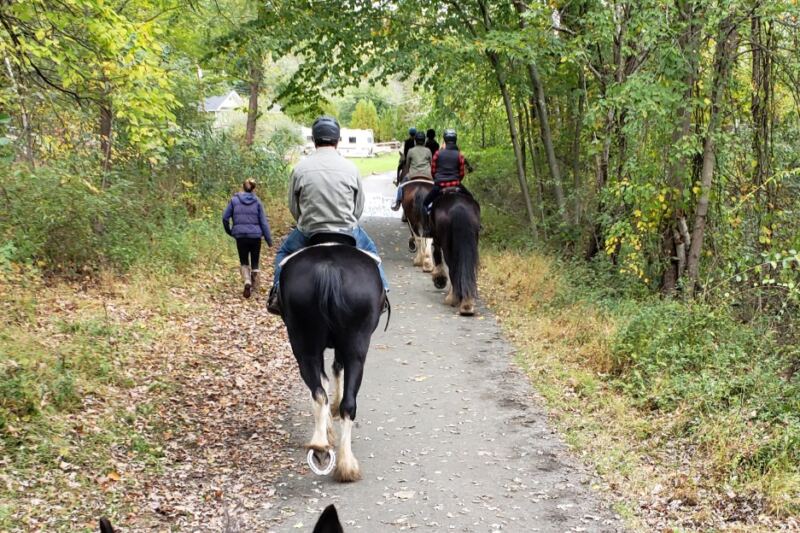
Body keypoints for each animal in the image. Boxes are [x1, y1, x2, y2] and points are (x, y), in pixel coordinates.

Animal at [279, 233, 387, 482]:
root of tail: (329, 270)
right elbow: (336, 370)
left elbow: (328, 376)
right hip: (354, 345)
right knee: (346, 401)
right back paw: (344, 462)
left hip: (304, 343)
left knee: (319, 390)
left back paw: (323, 446)